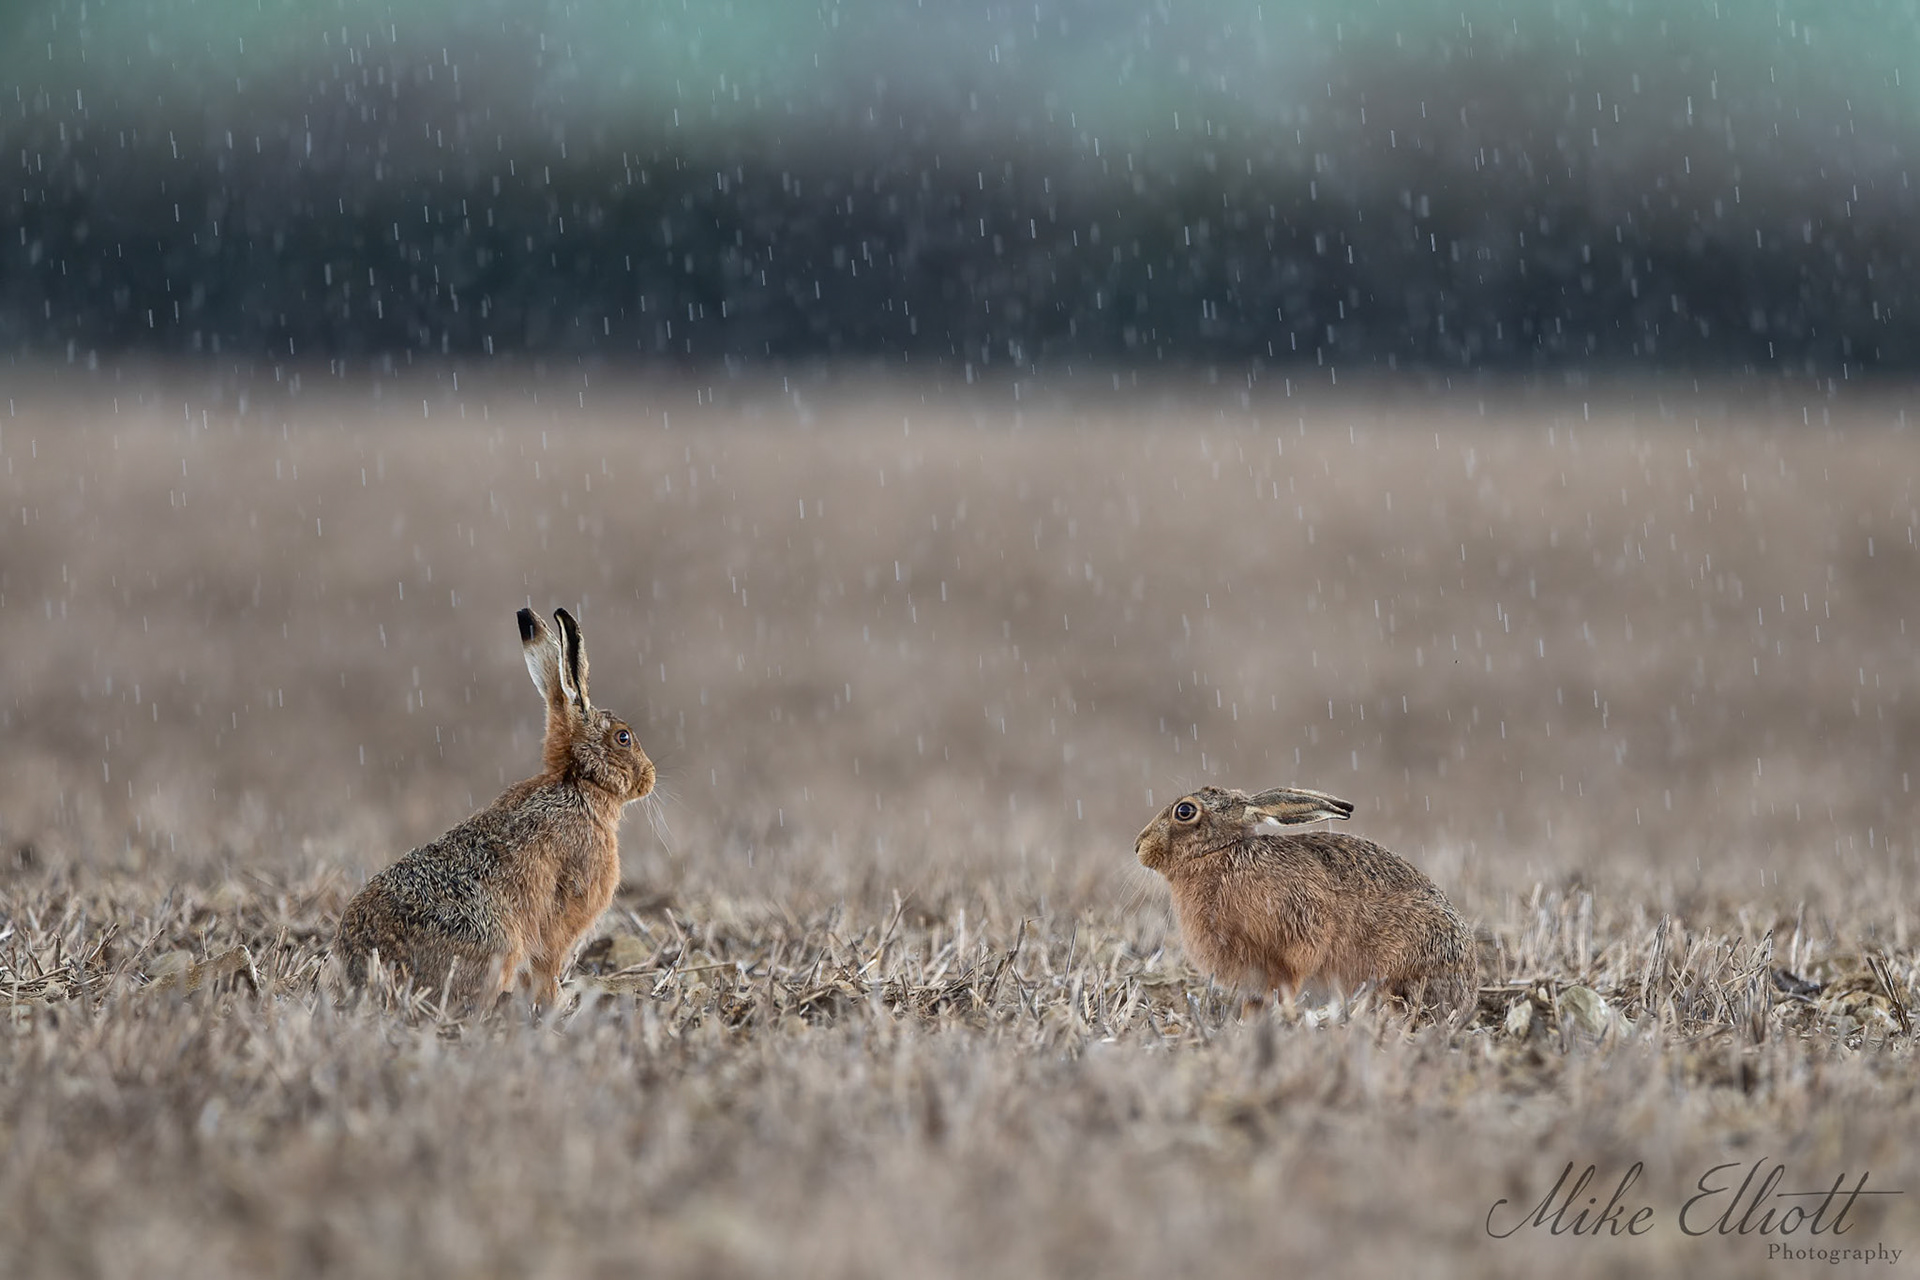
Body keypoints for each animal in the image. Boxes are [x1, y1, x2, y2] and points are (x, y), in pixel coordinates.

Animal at [333, 606, 655, 1015]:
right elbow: (547, 968)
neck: (578, 785)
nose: (650, 778)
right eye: (623, 737)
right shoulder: (560, 921)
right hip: (497, 944)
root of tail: (366, 968)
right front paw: (561, 1003)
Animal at [1135, 784, 1476, 1018]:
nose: (1139, 846)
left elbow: (1293, 978)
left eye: (1184, 811)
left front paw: (1283, 1016)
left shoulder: (1299, 933)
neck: (1221, 854)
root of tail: (1467, 994)